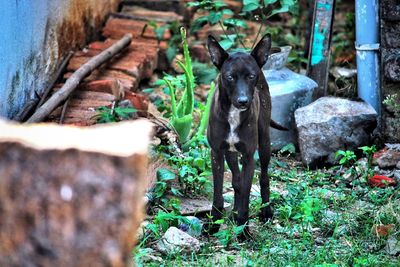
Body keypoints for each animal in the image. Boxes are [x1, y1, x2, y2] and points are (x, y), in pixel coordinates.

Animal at [206, 34, 288, 234]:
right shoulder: (217, 153)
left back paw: (266, 212)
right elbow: (219, 191)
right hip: (230, 153)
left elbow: (246, 191)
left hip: (264, 143)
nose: (243, 101)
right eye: (230, 77)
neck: (233, 114)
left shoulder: (249, 156)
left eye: (251, 76)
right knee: (236, 180)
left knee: (264, 177)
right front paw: (214, 223)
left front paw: (243, 229)